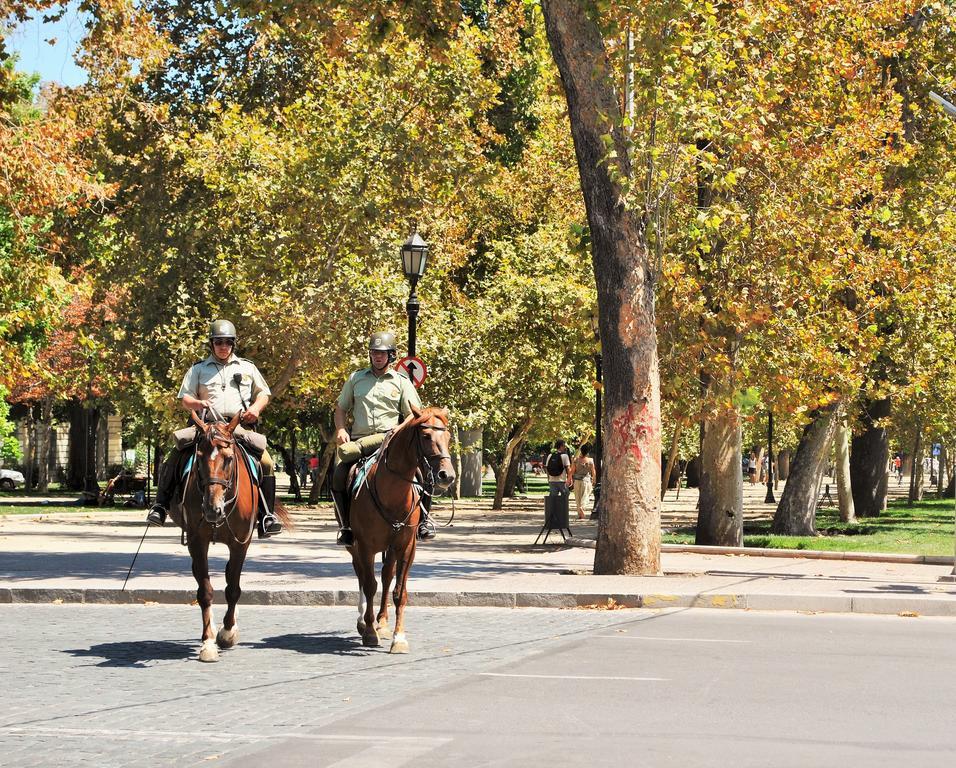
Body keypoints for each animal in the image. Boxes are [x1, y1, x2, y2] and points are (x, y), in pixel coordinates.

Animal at [168, 414, 290, 660]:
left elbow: (233, 588)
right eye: (199, 459)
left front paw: (228, 632)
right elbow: (205, 591)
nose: (211, 509)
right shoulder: (197, 541)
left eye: (228, 459)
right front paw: (208, 642)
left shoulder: (240, 543)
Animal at [352, 404, 456, 652]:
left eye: (448, 436)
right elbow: (369, 585)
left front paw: (398, 637)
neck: (392, 494)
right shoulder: (366, 546)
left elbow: (399, 591)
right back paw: (363, 621)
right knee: (361, 575)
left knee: (386, 575)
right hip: (354, 546)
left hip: (390, 548)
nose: (447, 476)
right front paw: (369, 631)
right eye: (426, 436)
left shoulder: (407, 546)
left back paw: (382, 622)